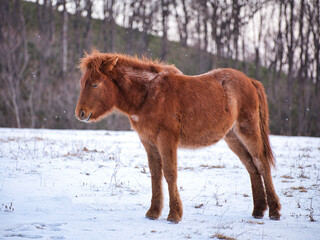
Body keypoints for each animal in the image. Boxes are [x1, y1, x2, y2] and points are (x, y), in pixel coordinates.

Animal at [74, 50, 280, 223]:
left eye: (95, 83)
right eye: (81, 82)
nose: (80, 113)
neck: (148, 94)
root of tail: (250, 81)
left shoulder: (166, 139)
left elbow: (170, 173)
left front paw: (174, 215)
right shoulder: (148, 142)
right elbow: (155, 174)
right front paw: (153, 212)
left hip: (248, 131)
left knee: (261, 163)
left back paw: (274, 211)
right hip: (232, 138)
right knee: (251, 167)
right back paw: (258, 210)